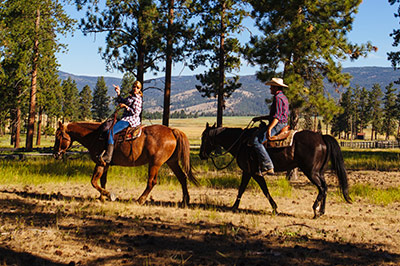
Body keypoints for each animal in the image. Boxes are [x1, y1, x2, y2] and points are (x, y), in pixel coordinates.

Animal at [53, 121, 198, 206]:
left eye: (58, 135)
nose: (55, 153)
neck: (95, 136)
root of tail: (172, 131)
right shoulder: (105, 165)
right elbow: (102, 181)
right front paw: (102, 197)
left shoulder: (100, 163)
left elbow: (93, 181)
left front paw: (109, 195)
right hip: (172, 162)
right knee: (182, 178)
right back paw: (185, 201)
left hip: (155, 163)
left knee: (152, 182)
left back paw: (140, 200)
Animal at [200, 123, 350, 218]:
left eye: (204, 138)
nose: (201, 155)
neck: (241, 142)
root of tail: (321, 137)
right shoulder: (249, 172)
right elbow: (246, 189)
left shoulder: (251, 172)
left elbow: (259, 189)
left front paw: (235, 207)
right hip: (319, 172)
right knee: (325, 187)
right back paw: (322, 211)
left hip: (311, 172)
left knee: (322, 188)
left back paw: (315, 210)